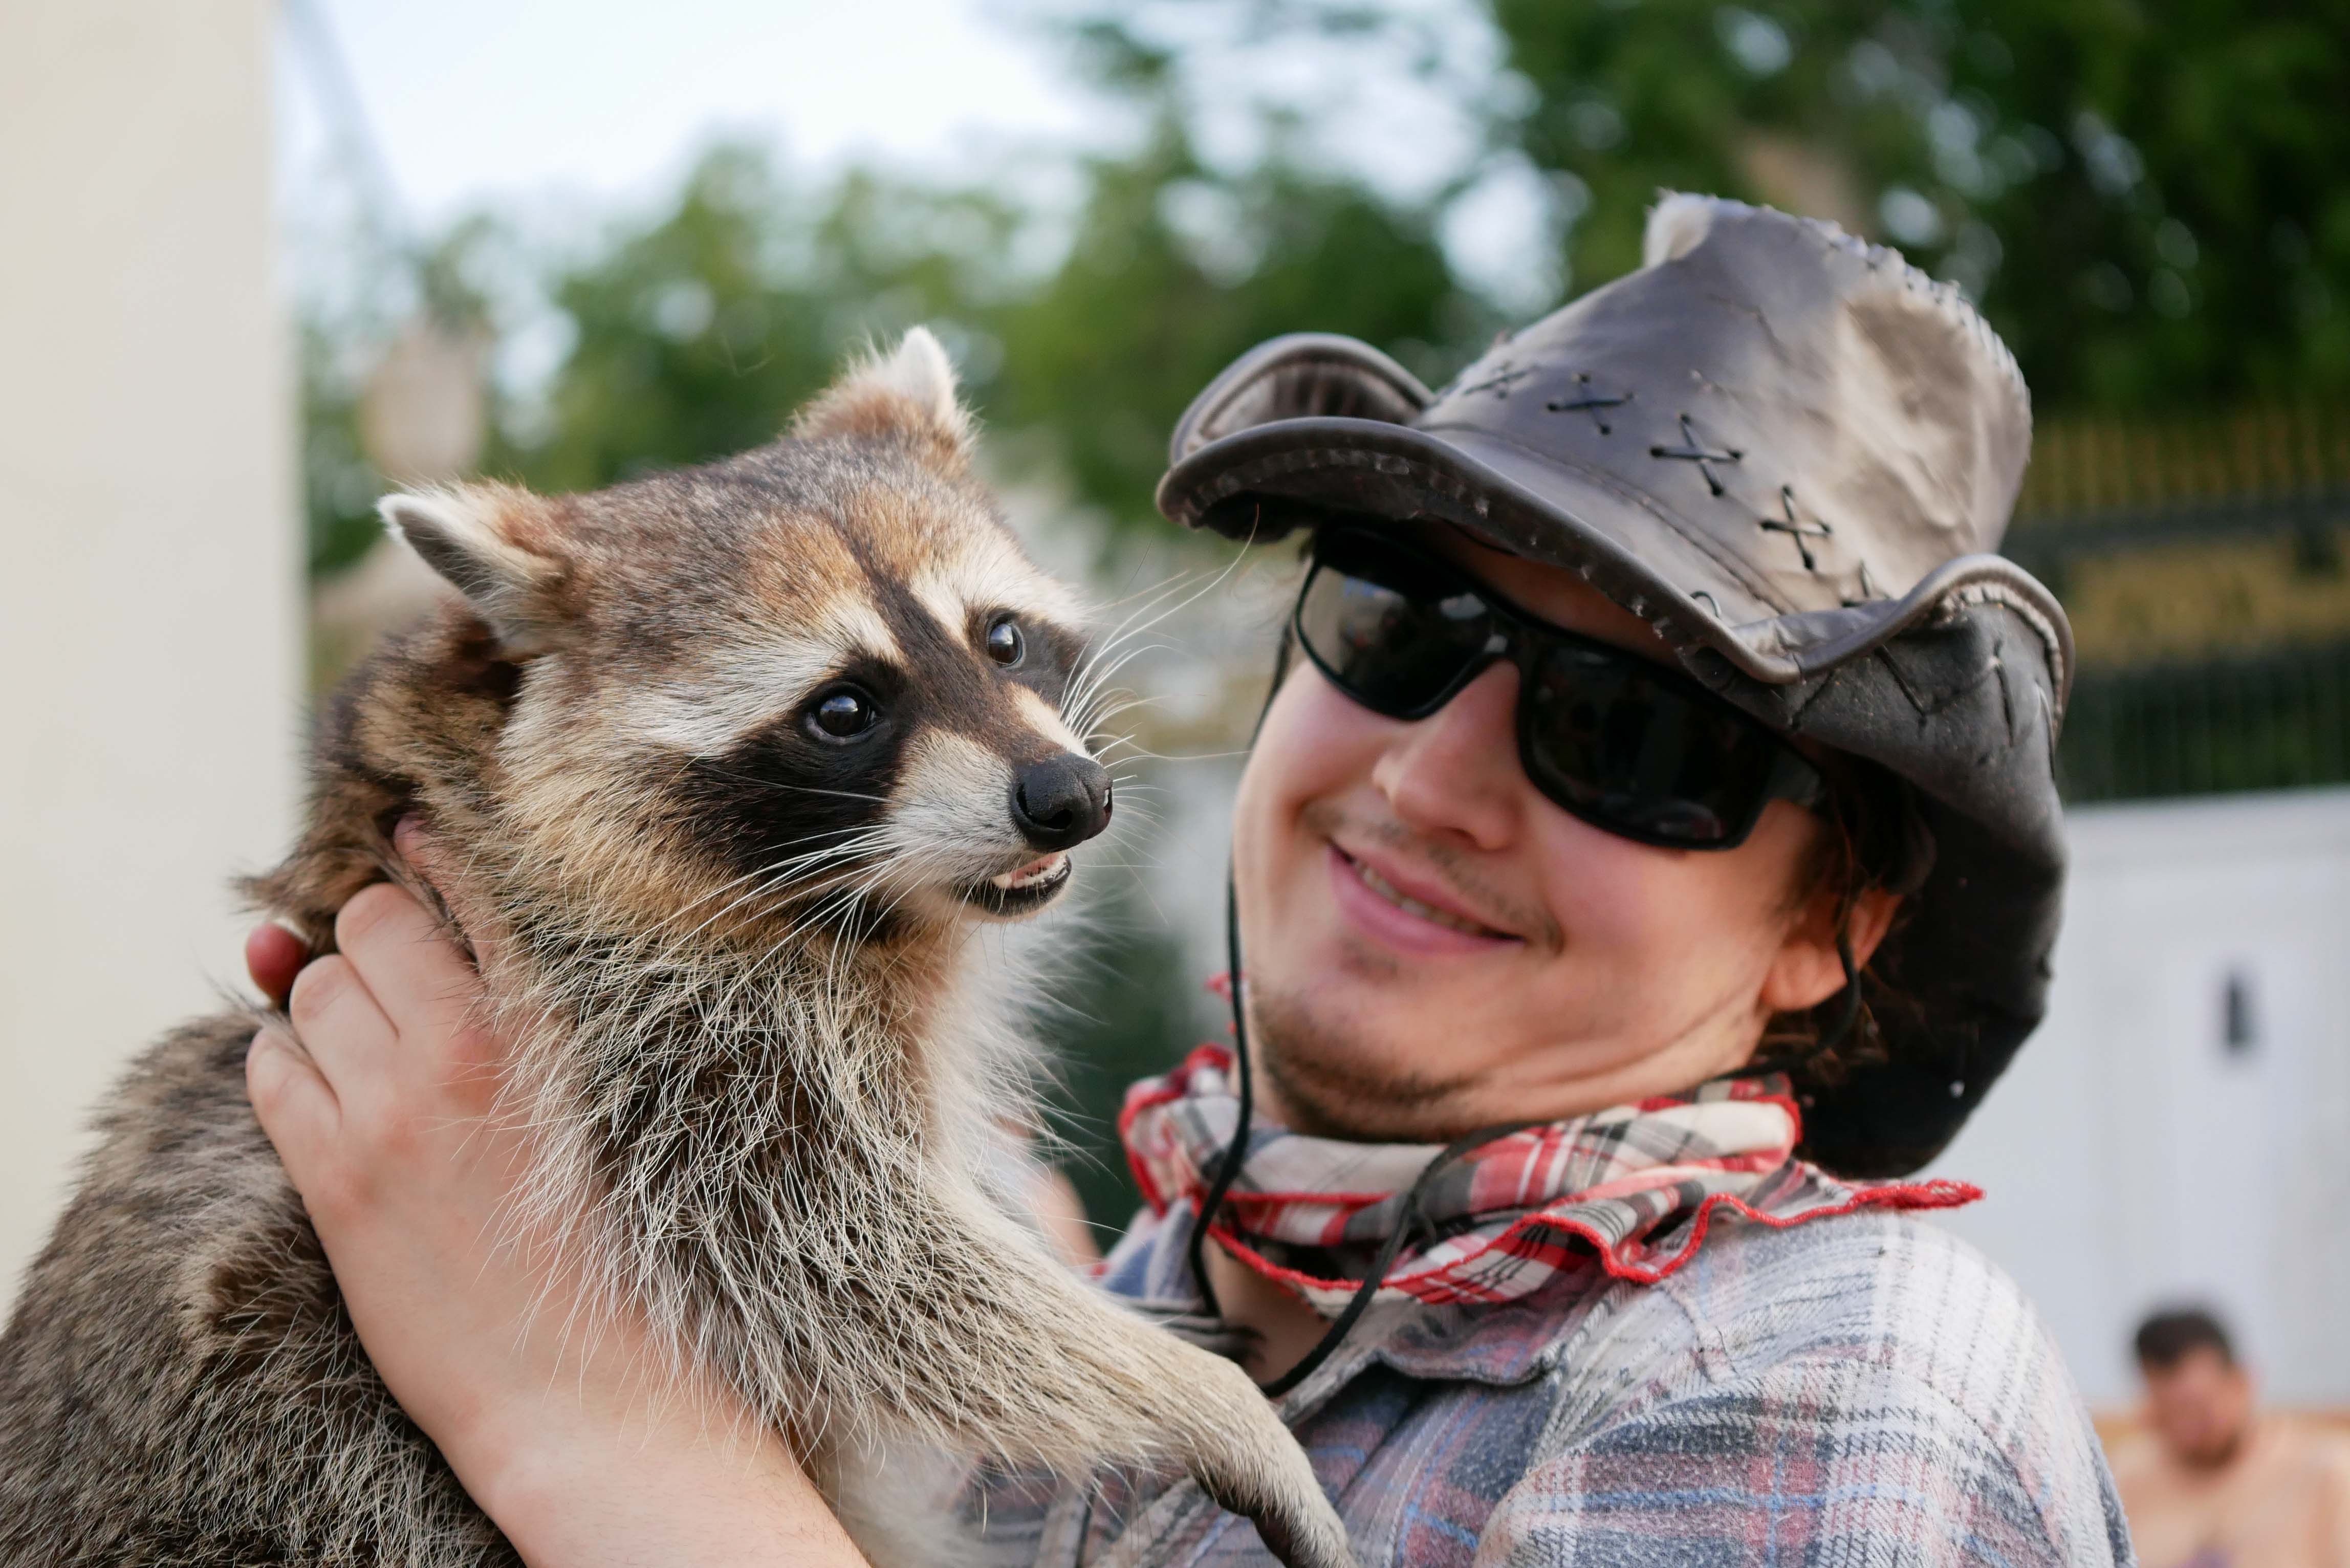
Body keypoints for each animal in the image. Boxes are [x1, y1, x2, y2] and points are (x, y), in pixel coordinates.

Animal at [0, 331, 1353, 1568]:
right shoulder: (651, 1017)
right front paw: (1206, 1399)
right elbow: (840, 1258)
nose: (1069, 797)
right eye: (845, 707)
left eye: (1003, 638)